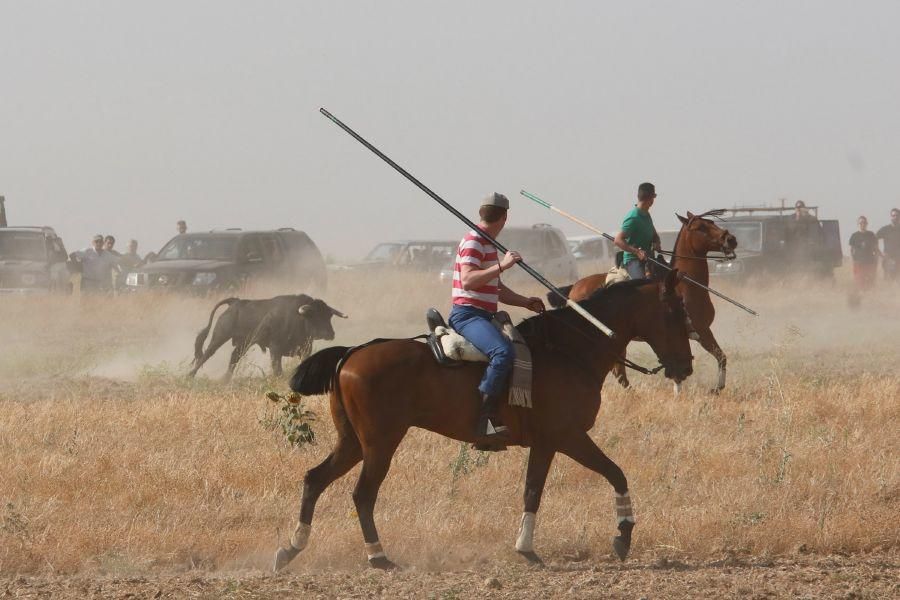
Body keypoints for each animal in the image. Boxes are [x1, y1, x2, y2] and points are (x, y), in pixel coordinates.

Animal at [188, 294, 346, 380]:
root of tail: (235, 301)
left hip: (244, 343)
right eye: (315, 315)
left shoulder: (305, 349)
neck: (297, 318)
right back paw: (190, 375)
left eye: (329, 316)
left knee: (234, 356)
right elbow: (277, 369)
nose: (330, 334)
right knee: (207, 354)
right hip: (220, 337)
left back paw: (225, 379)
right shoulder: (275, 349)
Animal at [270, 270, 692, 572]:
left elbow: (537, 490)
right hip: (380, 443)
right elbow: (606, 474)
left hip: (352, 442)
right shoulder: (565, 437)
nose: (685, 367)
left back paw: (291, 548)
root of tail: (353, 352)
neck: (569, 350)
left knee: (315, 479)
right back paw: (378, 557)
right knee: (362, 494)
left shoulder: (549, 443)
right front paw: (621, 537)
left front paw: (528, 549)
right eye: (676, 312)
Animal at [564, 212, 740, 394]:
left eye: (711, 222)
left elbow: (718, 357)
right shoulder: (700, 331)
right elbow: (715, 358)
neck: (684, 286)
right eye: (701, 227)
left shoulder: (693, 333)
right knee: (618, 371)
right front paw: (714, 388)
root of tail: (575, 287)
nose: (731, 239)